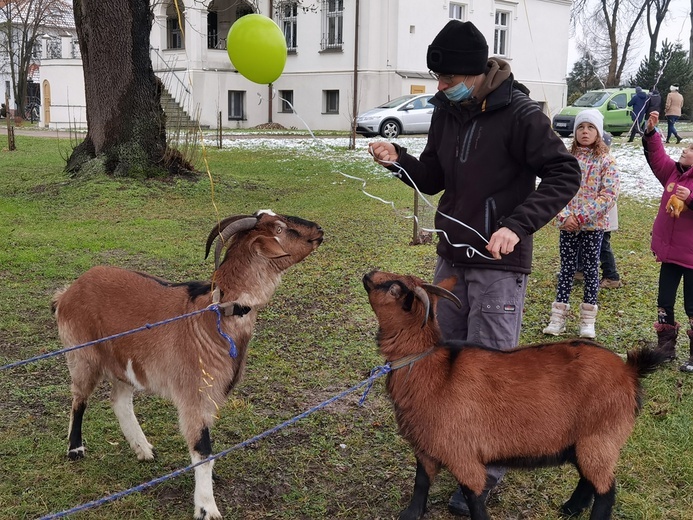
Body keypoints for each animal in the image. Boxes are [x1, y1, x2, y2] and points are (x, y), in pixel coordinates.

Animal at [52, 209, 324, 516]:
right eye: (279, 228)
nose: (319, 229)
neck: (214, 315)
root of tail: (68, 291)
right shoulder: (195, 394)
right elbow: (202, 448)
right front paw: (207, 508)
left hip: (123, 363)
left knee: (119, 401)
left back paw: (144, 450)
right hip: (82, 355)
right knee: (79, 398)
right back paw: (76, 450)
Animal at [362, 270, 664, 516]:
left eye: (394, 288)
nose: (368, 274)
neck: (433, 370)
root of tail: (629, 370)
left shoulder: (461, 453)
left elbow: (473, 500)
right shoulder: (426, 446)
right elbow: (421, 482)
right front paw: (410, 514)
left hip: (601, 436)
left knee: (606, 490)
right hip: (583, 441)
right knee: (589, 480)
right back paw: (570, 508)